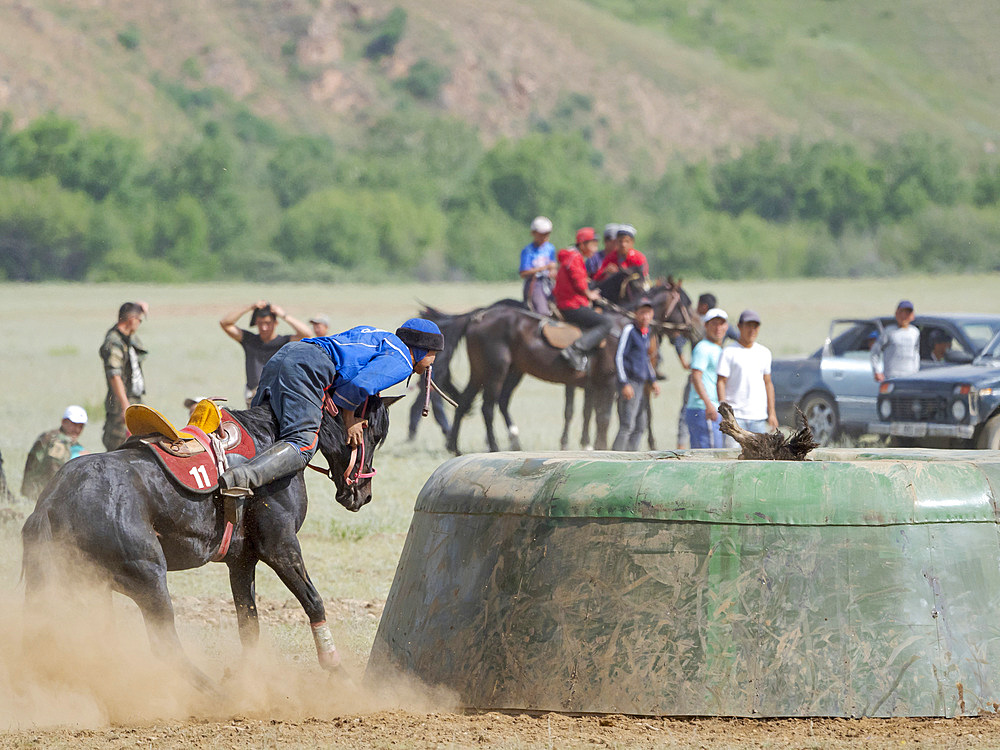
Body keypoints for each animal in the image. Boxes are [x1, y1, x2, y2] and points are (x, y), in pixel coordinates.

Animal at [22, 402, 390, 692]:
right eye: (372, 433)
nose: (363, 493)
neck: (272, 445)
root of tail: (51, 503)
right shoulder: (281, 547)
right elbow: (313, 602)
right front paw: (337, 671)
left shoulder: (242, 561)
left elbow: (249, 624)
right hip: (148, 579)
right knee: (163, 644)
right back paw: (214, 693)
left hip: (91, 586)